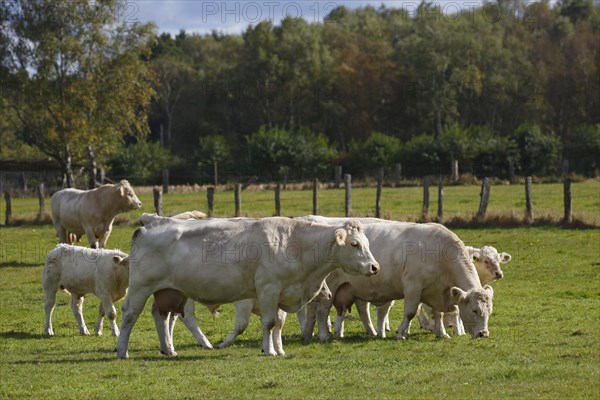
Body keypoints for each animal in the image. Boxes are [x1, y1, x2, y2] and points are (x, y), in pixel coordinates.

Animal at [116, 214, 380, 358]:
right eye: (355, 244)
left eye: (367, 243)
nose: (375, 267)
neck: (293, 243)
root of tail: (152, 222)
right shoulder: (268, 288)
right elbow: (269, 323)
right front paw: (269, 351)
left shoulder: (281, 293)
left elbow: (278, 325)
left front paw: (277, 349)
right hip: (140, 287)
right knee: (130, 315)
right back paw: (122, 351)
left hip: (171, 291)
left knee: (161, 316)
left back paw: (169, 349)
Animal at [302, 220, 494, 342]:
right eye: (474, 310)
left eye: (489, 312)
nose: (484, 334)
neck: (439, 254)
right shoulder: (413, 287)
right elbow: (410, 312)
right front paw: (401, 334)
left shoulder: (437, 291)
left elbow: (437, 314)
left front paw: (442, 333)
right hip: (330, 287)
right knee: (322, 310)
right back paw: (323, 335)